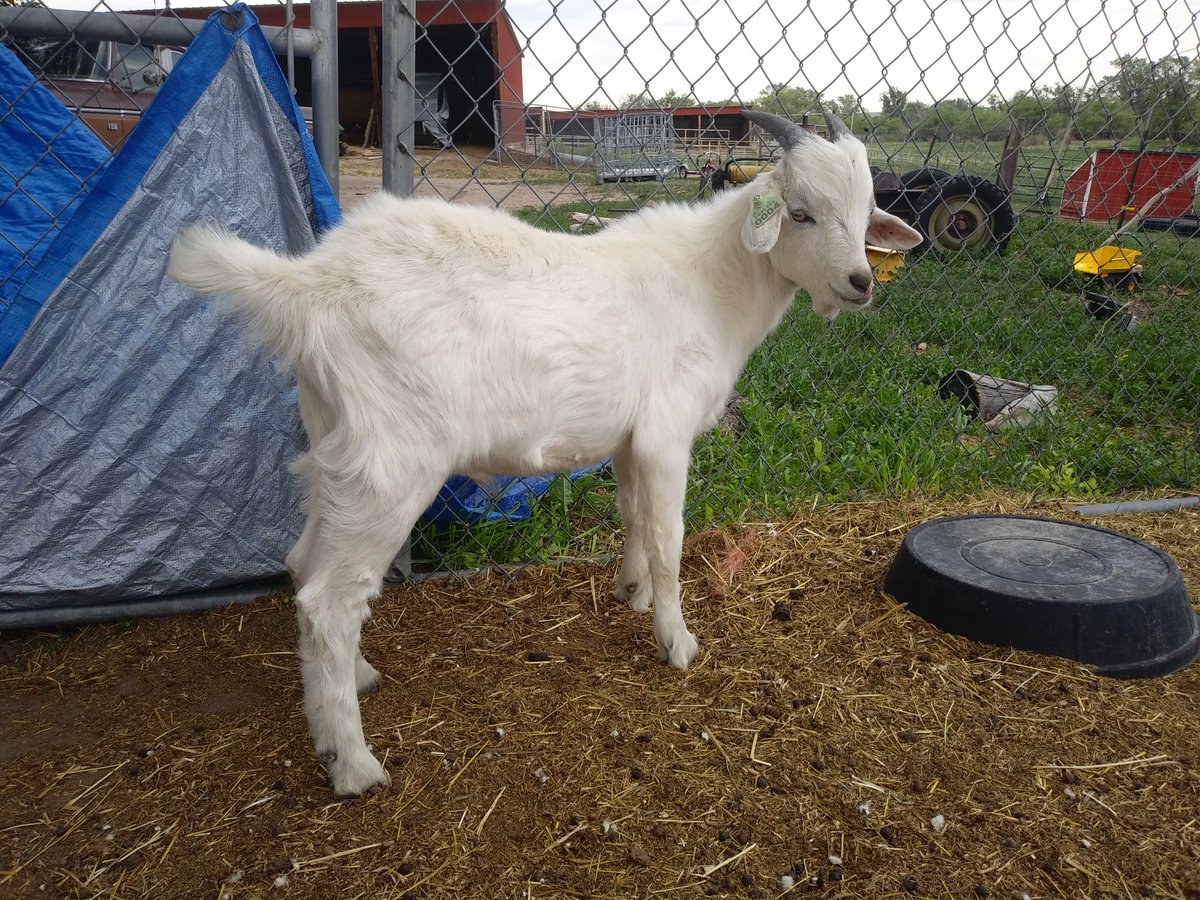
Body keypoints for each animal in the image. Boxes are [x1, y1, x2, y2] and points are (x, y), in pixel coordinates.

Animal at [168, 110, 923, 797]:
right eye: (800, 213)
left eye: (865, 213)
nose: (861, 283)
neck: (712, 283)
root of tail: (310, 287)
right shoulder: (666, 432)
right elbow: (669, 537)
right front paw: (676, 642)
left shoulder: (629, 439)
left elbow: (632, 518)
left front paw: (631, 594)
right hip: (392, 460)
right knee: (331, 597)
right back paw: (353, 766)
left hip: (336, 442)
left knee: (306, 567)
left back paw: (354, 681)